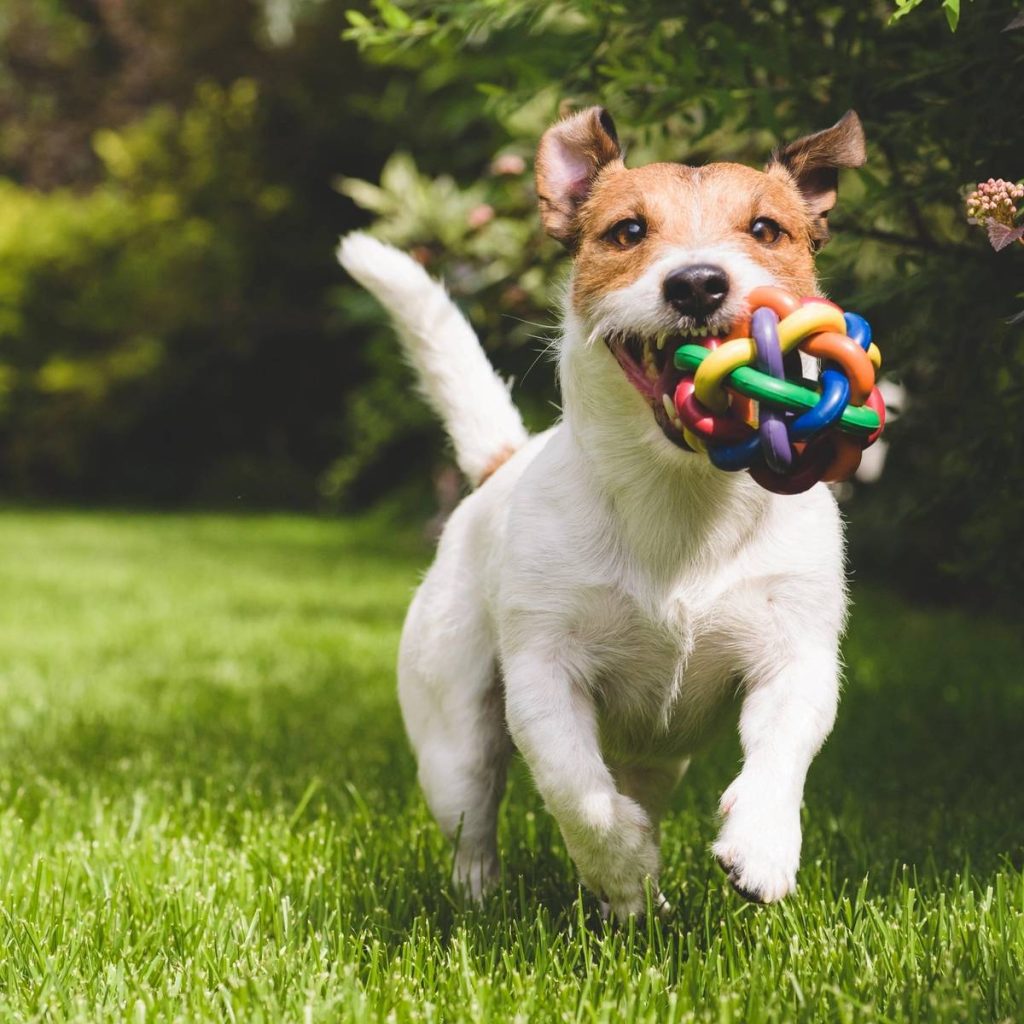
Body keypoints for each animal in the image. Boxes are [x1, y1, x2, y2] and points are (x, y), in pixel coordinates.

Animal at [342, 108, 864, 917]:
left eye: (766, 228)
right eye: (627, 231)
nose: (698, 283)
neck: (679, 494)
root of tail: (501, 463)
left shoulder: (796, 653)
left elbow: (783, 749)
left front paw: (762, 845)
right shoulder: (543, 674)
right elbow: (575, 791)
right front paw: (621, 865)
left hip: (660, 755)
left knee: (641, 785)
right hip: (453, 735)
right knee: (475, 815)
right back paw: (498, 893)